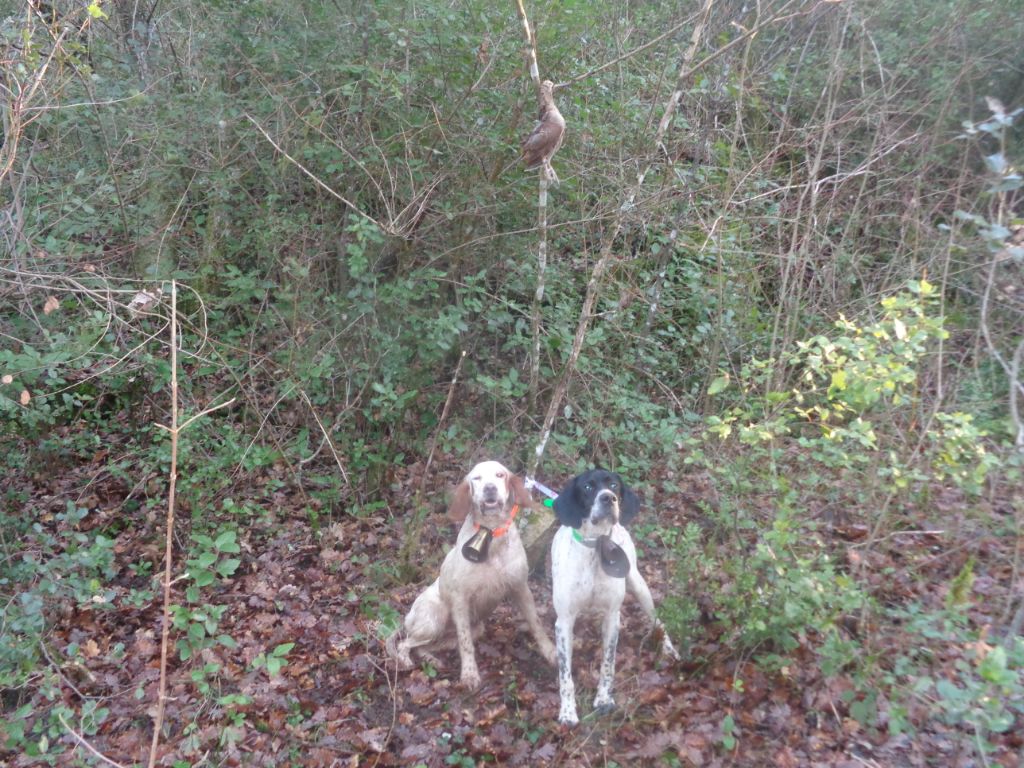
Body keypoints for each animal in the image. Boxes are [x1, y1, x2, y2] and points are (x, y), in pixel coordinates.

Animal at [385, 462, 561, 692]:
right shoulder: (461, 599)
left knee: (422, 646)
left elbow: (536, 623)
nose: (490, 488)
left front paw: (550, 652)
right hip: (435, 620)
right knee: (405, 643)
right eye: (476, 478)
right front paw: (469, 674)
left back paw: (433, 660)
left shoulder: (520, 587)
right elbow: (466, 643)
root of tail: (407, 618)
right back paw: (405, 660)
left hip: (471, 629)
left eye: (500, 475)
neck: (492, 535)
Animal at [552, 468, 679, 729]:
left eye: (613, 485)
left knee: (657, 621)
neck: (595, 546)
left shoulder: (612, 616)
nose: (608, 498)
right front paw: (568, 711)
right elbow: (565, 674)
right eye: (588, 487)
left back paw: (669, 649)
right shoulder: (564, 622)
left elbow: (608, 663)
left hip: (639, 585)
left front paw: (603, 699)